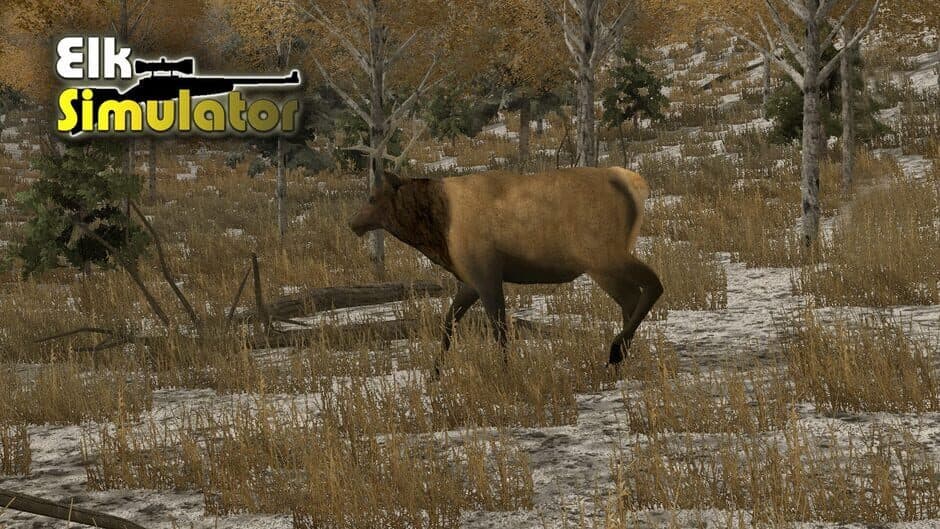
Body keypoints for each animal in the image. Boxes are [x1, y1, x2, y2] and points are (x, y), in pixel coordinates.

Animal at [348, 166, 663, 372]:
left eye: (372, 198)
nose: (353, 223)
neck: (437, 230)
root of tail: (636, 184)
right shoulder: (470, 280)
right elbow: (448, 322)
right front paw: (435, 373)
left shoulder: (486, 273)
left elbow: (499, 328)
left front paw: (505, 370)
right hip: (605, 261)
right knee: (633, 297)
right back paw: (621, 355)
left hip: (601, 256)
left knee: (650, 287)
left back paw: (617, 351)